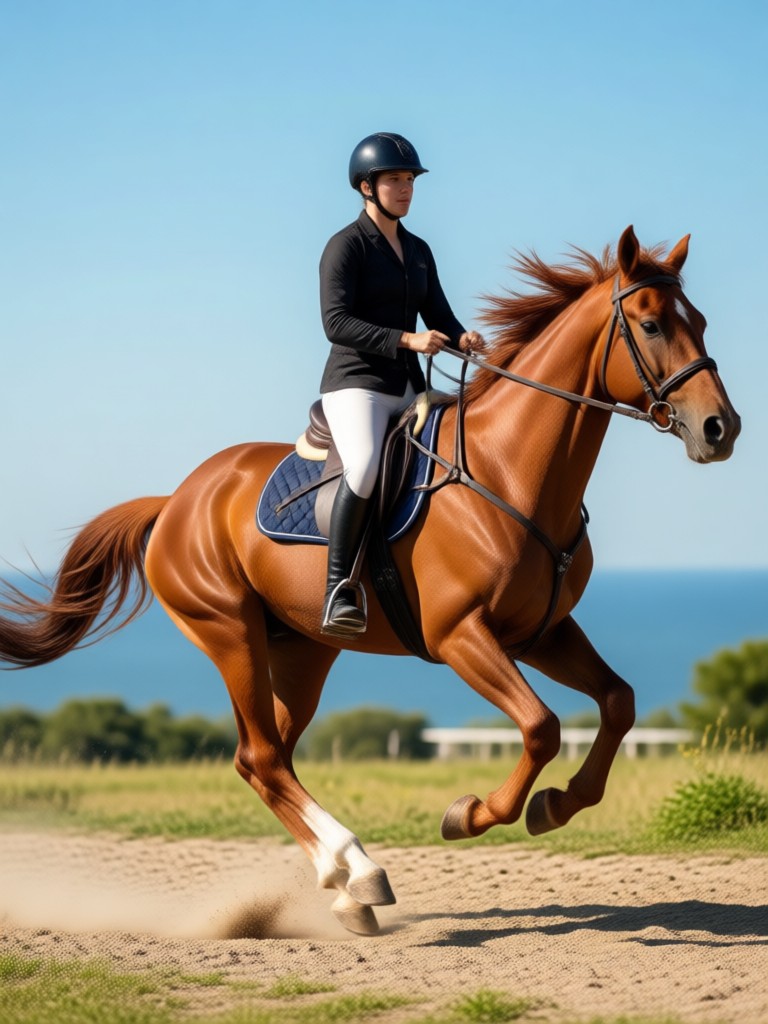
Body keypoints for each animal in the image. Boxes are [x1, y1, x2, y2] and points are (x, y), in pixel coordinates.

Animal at [0, 226, 740, 935]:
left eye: (701, 321)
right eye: (650, 324)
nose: (720, 428)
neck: (506, 470)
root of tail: (176, 500)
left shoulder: (542, 632)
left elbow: (618, 703)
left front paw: (557, 804)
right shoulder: (460, 637)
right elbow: (541, 727)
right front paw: (471, 813)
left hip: (303, 651)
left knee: (265, 758)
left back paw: (346, 888)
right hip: (231, 634)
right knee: (262, 756)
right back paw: (359, 870)